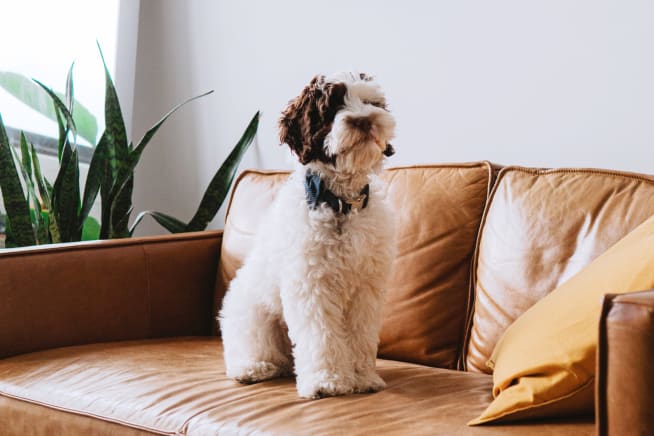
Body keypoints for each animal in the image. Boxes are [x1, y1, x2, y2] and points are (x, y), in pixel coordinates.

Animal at [220, 73, 398, 400]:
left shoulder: (367, 288)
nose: (364, 121)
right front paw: (328, 381)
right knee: (249, 350)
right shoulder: (313, 285)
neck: (340, 204)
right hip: (252, 316)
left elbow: (361, 335)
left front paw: (363, 378)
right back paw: (252, 368)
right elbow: (322, 336)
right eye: (332, 107)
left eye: (371, 102)